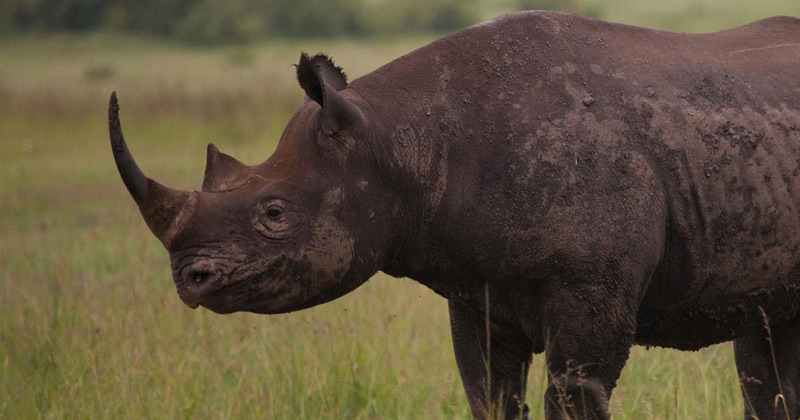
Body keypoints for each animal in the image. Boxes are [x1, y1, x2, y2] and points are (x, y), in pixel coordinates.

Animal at [109, 11, 800, 420]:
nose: (189, 280)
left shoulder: (590, 286)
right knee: (767, 342)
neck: (397, 141)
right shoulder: (478, 290)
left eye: (274, 213)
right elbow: (488, 395)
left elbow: (573, 393)